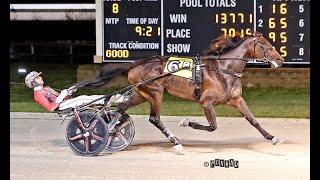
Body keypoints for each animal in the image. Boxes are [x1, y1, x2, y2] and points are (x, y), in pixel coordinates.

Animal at [80, 32, 284, 150]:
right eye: (266, 45)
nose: (281, 59)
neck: (223, 68)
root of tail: (136, 64)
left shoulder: (236, 99)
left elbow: (253, 120)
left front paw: (272, 137)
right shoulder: (206, 102)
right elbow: (213, 126)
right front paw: (186, 122)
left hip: (141, 93)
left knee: (121, 108)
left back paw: (111, 131)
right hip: (155, 92)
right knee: (154, 118)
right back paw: (175, 141)